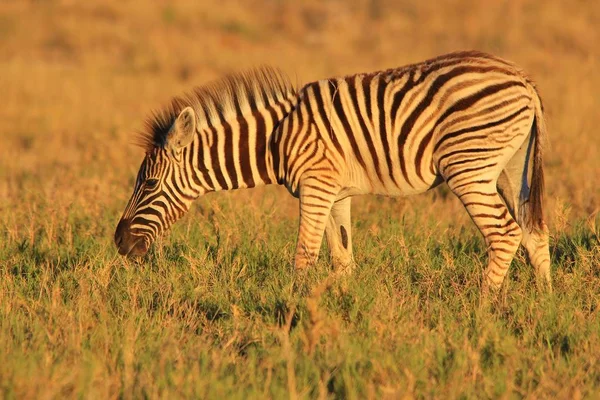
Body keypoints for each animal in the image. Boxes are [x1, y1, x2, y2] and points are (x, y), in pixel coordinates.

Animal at [115, 51, 552, 292]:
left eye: (149, 183)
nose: (119, 242)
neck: (276, 137)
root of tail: (523, 80)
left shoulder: (316, 185)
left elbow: (304, 254)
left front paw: (289, 312)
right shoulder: (335, 193)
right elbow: (342, 258)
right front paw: (340, 310)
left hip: (469, 166)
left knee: (505, 233)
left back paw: (482, 308)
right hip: (511, 168)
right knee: (534, 231)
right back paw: (543, 304)